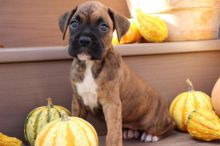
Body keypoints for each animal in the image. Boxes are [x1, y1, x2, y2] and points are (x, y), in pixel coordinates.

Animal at [58, 1, 174, 146]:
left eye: (103, 27)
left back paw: (151, 135)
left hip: (156, 120)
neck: (90, 64)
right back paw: (130, 132)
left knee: (168, 127)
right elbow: (76, 120)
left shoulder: (111, 104)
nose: (84, 40)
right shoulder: (78, 102)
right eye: (74, 24)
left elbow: (113, 133)